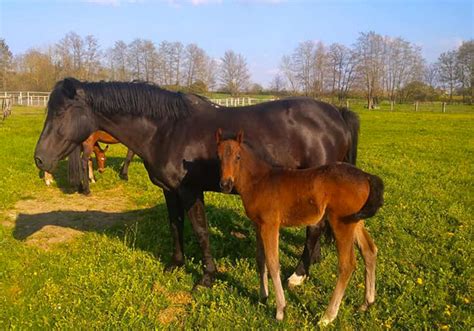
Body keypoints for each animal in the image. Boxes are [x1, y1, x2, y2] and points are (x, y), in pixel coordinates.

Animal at [34, 78, 360, 288]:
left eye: (61, 112)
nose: (39, 159)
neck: (167, 129)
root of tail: (336, 114)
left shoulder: (190, 191)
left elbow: (201, 231)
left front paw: (206, 276)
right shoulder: (170, 191)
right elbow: (175, 225)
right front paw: (175, 263)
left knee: (314, 228)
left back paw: (298, 275)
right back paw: (313, 261)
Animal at [217, 130, 384, 326]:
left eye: (238, 157)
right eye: (218, 157)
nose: (225, 184)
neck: (259, 181)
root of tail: (366, 176)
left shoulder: (270, 225)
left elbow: (273, 263)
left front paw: (280, 310)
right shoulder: (258, 225)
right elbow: (261, 260)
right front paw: (263, 297)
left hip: (341, 222)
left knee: (347, 265)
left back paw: (327, 316)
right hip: (355, 221)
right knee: (369, 250)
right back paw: (367, 303)